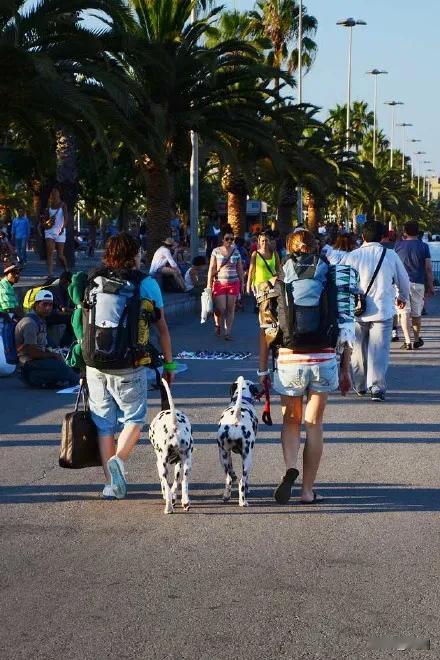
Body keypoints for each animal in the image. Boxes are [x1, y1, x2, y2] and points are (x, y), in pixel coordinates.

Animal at [149, 378, 193, 512]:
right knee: (184, 481)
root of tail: (174, 425)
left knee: (166, 482)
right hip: (187, 463)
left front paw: (168, 496)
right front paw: (175, 497)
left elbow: (165, 485)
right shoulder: (179, 463)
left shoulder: (158, 463)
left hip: (163, 465)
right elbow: (176, 482)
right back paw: (185, 502)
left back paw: (168, 507)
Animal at [217, 376, 260, 506]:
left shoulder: (229, 455)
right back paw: (243, 501)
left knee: (229, 478)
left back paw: (226, 496)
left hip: (223, 455)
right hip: (247, 457)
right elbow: (246, 480)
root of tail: (236, 418)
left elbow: (232, 472)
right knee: (242, 481)